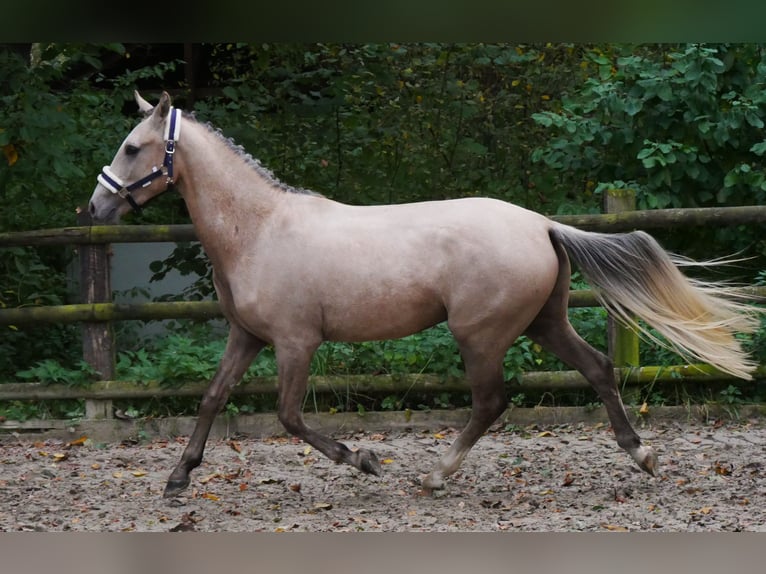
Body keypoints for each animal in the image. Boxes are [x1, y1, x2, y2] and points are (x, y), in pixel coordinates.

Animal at [88, 91, 760, 500]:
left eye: (131, 147)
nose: (94, 207)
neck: (258, 229)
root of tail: (542, 224)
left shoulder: (296, 343)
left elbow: (288, 416)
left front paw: (364, 459)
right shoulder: (247, 336)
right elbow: (210, 399)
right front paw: (178, 478)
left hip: (479, 334)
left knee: (491, 402)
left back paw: (436, 476)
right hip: (543, 323)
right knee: (597, 369)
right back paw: (642, 456)